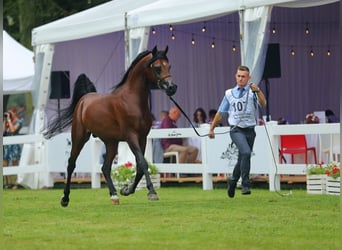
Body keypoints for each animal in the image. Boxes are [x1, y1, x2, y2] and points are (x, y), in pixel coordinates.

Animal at [44, 46, 176, 206]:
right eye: (157, 67)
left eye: (169, 66)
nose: (172, 87)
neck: (132, 100)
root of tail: (84, 99)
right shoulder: (131, 136)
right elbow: (143, 163)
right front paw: (152, 192)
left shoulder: (143, 138)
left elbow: (139, 166)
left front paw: (126, 190)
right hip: (79, 137)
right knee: (71, 164)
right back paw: (65, 198)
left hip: (111, 142)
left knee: (105, 168)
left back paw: (114, 195)